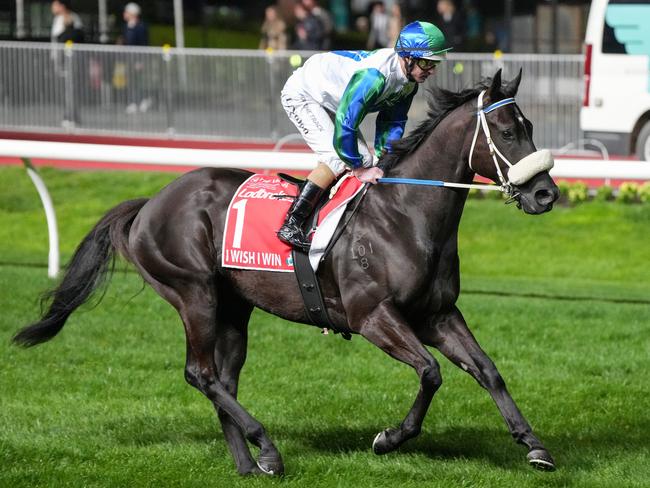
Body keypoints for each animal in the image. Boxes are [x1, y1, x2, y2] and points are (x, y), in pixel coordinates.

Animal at [13, 71, 556, 476]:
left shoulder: (437, 314)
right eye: (507, 132)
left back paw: (249, 464)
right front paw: (388, 438)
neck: (407, 216)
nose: (546, 194)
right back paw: (267, 447)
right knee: (200, 373)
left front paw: (533, 445)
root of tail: (151, 203)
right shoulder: (373, 317)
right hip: (193, 293)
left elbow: (488, 370)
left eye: (530, 125)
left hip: (234, 306)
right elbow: (430, 371)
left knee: (222, 380)